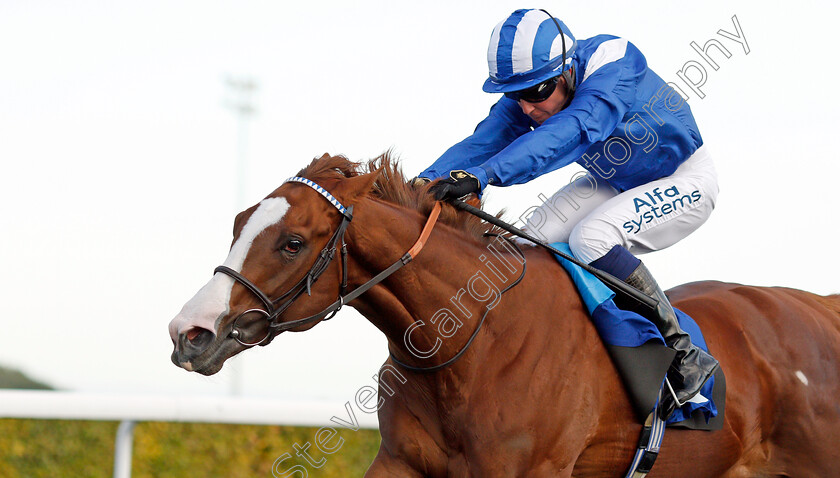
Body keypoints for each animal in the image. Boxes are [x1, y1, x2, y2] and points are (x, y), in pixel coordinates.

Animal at [169, 154, 840, 478]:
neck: (471, 341)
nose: (189, 333)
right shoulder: (402, 462)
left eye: (292, 242)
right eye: (239, 223)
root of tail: (820, 308)